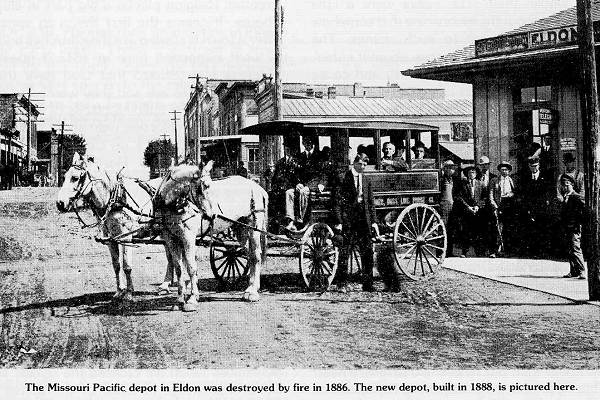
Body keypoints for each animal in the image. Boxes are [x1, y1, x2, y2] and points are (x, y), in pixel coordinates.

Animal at [55, 152, 173, 300]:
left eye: (75, 178)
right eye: (64, 176)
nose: (60, 203)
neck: (115, 199)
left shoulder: (126, 238)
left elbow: (127, 266)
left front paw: (129, 293)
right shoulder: (111, 239)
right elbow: (116, 265)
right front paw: (119, 291)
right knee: (171, 256)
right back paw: (166, 285)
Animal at [155, 160, 268, 310]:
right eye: (203, 187)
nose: (212, 214)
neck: (175, 206)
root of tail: (258, 187)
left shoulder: (188, 237)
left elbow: (191, 267)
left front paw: (192, 299)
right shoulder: (171, 238)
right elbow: (179, 268)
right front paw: (179, 300)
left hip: (253, 228)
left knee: (256, 256)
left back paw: (253, 292)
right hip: (241, 230)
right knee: (249, 256)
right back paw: (249, 289)